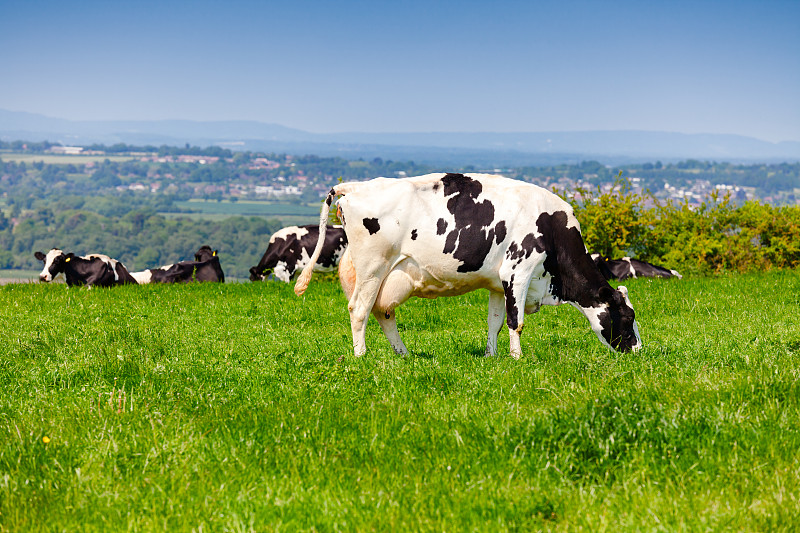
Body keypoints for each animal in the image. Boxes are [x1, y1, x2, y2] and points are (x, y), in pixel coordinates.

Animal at [294, 174, 644, 358]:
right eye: (628, 318)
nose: (639, 351)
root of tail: (355, 186)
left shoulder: (498, 282)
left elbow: (495, 322)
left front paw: (492, 356)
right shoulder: (518, 270)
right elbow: (516, 321)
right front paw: (518, 359)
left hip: (390, 274)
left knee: (383, 311)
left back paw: (404, 355)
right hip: (372, 266)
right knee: (359, 309)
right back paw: (361, 355)